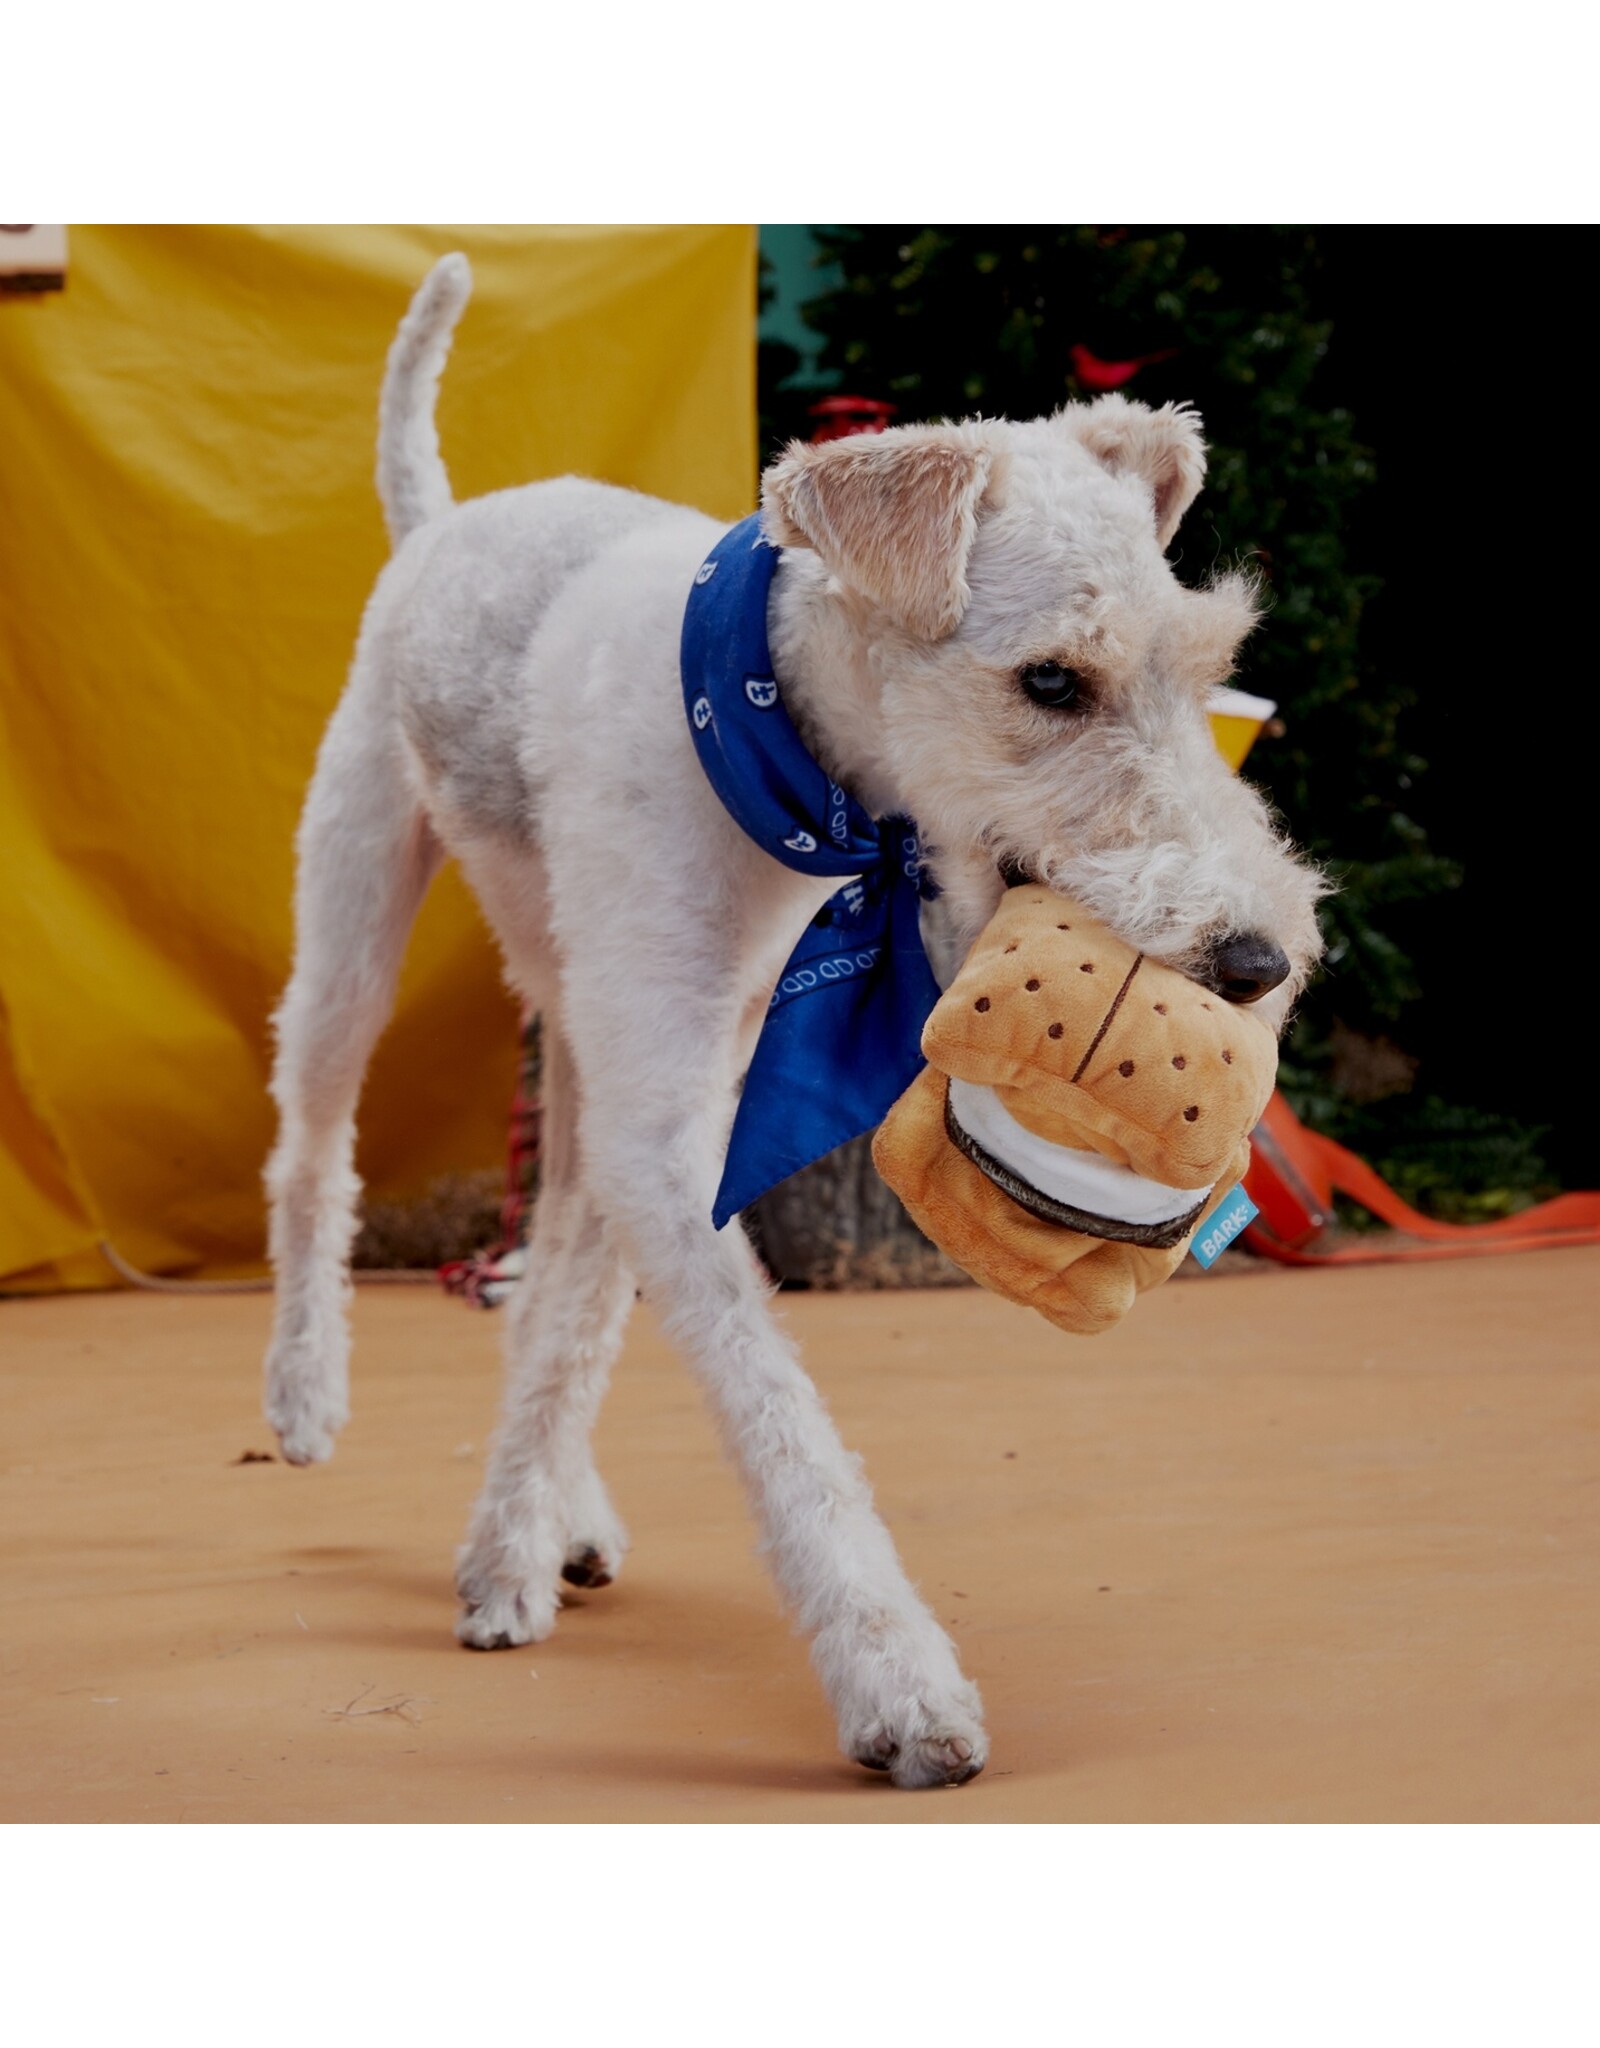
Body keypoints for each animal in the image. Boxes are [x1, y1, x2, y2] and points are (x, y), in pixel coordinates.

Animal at [264, 256, 1319, 1785]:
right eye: (1051, 679)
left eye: (1206, 662)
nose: (1254, 959)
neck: (787, 745)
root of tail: (444, 518)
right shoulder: (663, 1113)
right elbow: (774, 1408)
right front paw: (900, 1684)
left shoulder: (665, 1087)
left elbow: (579, 1317)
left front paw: (510, 1544)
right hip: (354, 907)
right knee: (312, 1151)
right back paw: (304, 1396)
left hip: (572, 1012)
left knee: (552, 1250)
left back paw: (559, 1513)